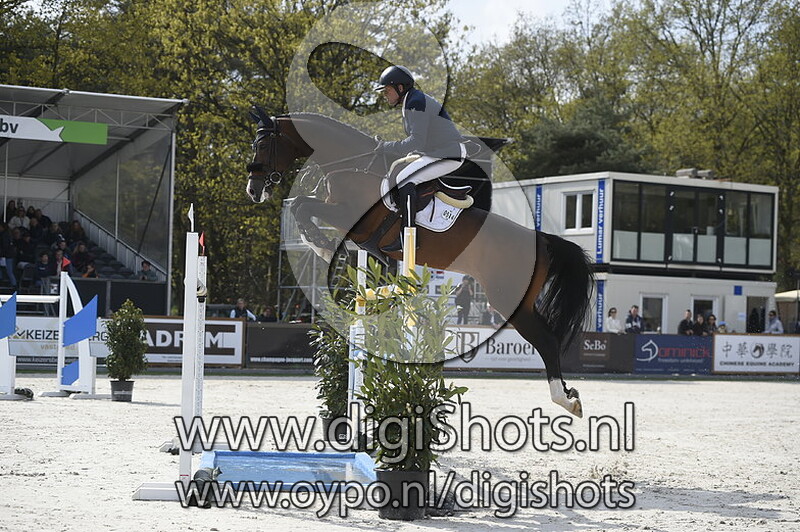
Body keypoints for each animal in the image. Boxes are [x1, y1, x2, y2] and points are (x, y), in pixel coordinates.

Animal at [245, 110, 594, 417]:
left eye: (262, 145)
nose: (253, 191)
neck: (352, 165)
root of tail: (542, 240)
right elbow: (303, 206)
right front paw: (322, 245)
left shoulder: (349, 217)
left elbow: (303, 207)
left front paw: (320, 244)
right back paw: (568, 397)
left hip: (510, 300)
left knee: (547, 341)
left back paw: (566, 400)